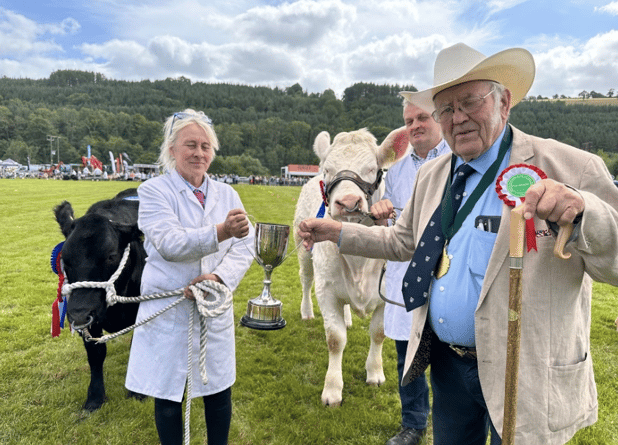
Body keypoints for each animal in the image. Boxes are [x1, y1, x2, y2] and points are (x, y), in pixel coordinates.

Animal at [294, 125, 410, 406]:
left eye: (373, 168)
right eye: (328, 169)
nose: (348, 202)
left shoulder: (385, 294)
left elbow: (378, 333)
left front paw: (375, 373)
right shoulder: (326, 290)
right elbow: (335, 339)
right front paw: (332, 389)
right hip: (303, 250)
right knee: (305, 281)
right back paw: (306, 311)